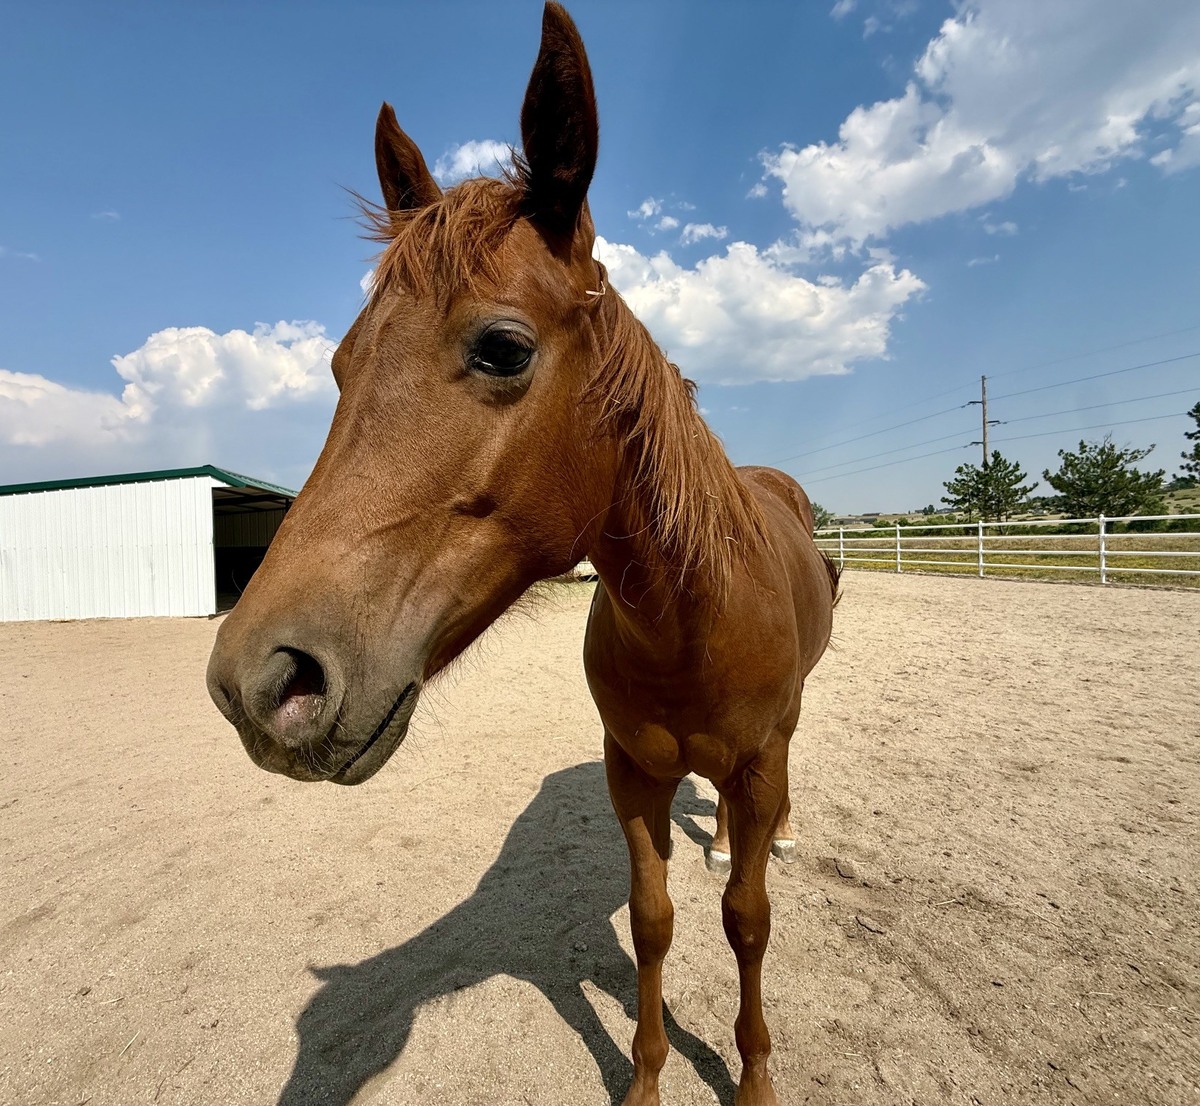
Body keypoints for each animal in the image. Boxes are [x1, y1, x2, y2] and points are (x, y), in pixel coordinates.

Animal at [206, 5, 838, 1105]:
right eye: (338, 364)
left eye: (502, 347)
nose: (263, 679)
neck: (690, 621)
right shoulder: (633, 773)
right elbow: (655, 923)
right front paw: (645, 1079)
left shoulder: (759, 762)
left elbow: (748, 924)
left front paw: (754, 1074)